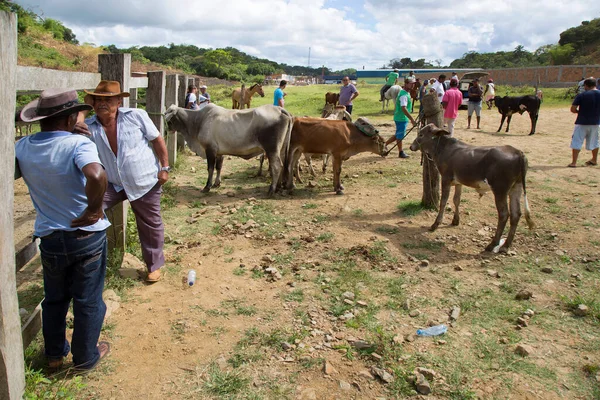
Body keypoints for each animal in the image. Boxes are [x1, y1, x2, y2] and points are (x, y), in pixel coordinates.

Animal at [165, 104, 294, 196]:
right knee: (282, 164)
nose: (167, 130)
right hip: (281, 148)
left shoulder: (210, 150)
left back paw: (271, 190)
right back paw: (277, 187)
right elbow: (219, 167)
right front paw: (217, 183)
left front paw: (207, 186)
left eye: (169, 119)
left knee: (276, 166)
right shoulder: (219, 152)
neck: (198, 121)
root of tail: (279, 109)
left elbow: (210, 168)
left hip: (271, 149)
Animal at [408, 123, 536, 252]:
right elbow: (456, 200)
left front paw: (435, 224)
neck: (444, 149)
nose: (411, 146)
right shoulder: (458, 182)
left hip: (500, 190)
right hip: (516, 188)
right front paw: (455, 220)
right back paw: (505, 245)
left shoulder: (446, 179)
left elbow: (443, 201)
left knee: (504, 214)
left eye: (421, 134)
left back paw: (493, 244)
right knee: (516, 214)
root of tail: (518, 152)